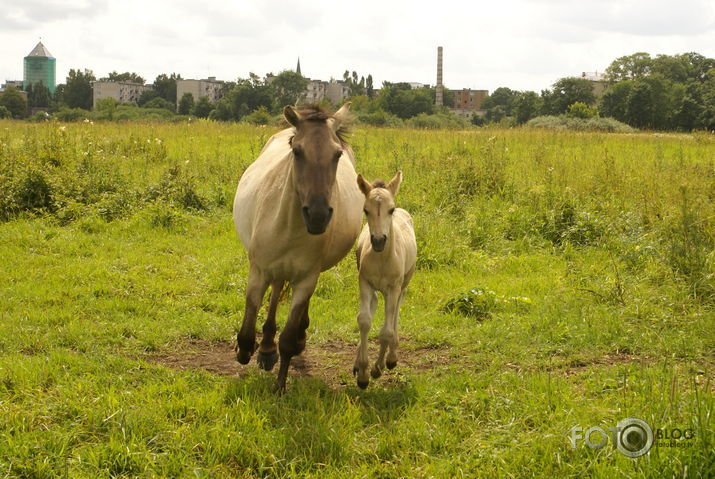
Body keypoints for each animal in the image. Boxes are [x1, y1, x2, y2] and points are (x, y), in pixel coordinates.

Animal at [235, 103, 364, 392]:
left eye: (337, 154)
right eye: (297, 151)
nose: (317, 215)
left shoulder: (306, 279)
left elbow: (289, 338)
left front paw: (280, 387)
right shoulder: (258, 270)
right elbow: (249, 321)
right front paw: (245, 352)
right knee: (275, 292)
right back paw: (265, 349)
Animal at [354, 172, 416, 390]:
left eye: (391, 210)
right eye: (365, 210)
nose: (379, 241)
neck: (381, 258)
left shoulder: (393, 287)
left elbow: (386, 332)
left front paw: (378, 368)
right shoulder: (364, 282)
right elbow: (364, 320)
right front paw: (363, 373)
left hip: (402, 284)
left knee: (396, 311)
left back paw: (391, 356)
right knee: (373, 305)